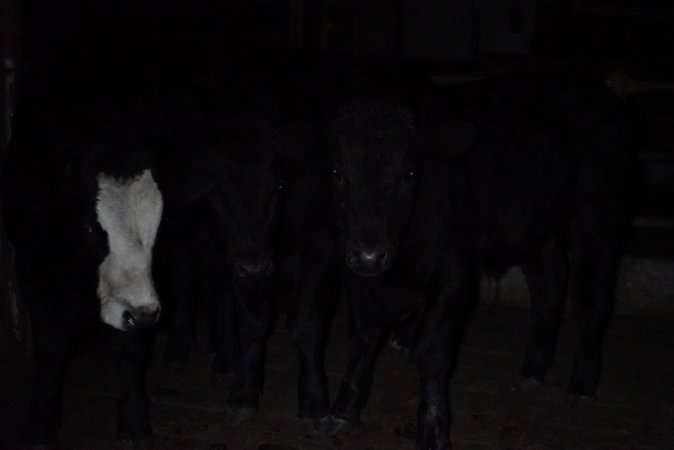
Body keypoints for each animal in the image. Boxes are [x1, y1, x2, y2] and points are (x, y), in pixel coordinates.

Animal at [2, 70, 164, 446]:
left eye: (158, 225)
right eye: (91, 227)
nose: (142, 316)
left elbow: (131, 346)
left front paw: (134, 424)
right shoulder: (32, 264)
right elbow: (50, 342)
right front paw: (40, 426)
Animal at [322, 74, 632, 450]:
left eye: (409, 174)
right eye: (337, 173)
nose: (370, 254)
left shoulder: (454, 276)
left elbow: (433, 352)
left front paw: (433, 429)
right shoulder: (353, 274)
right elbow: (363, 341)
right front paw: (344, 410)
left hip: (599, 218)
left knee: (592, 299)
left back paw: (583, 383)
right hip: (537, 229)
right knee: (550, 286)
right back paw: (533, 370)